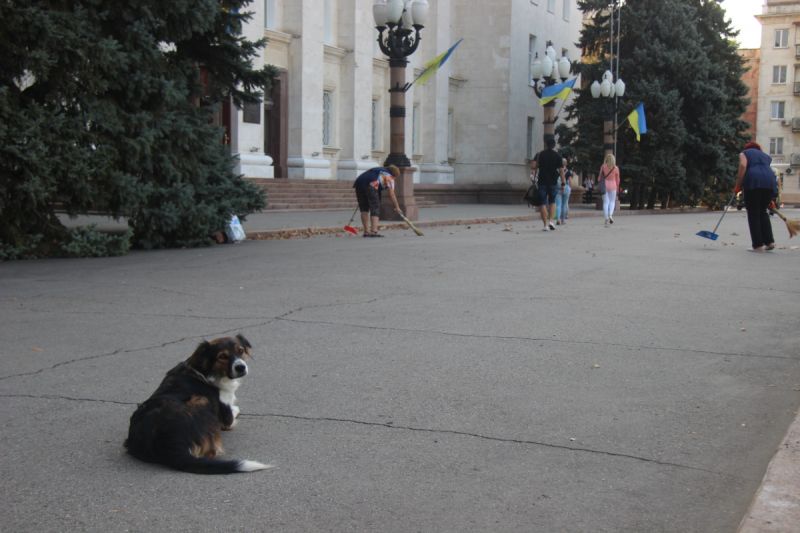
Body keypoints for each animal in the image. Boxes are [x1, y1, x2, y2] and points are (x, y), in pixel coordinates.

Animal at [122, 332, 272, 474]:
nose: (241, 367)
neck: (205, 371)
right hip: (201, 400)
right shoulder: (226, 417)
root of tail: (169, 445)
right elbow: (234, 411)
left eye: (240, 350)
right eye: (222, 356)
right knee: (211, 452)